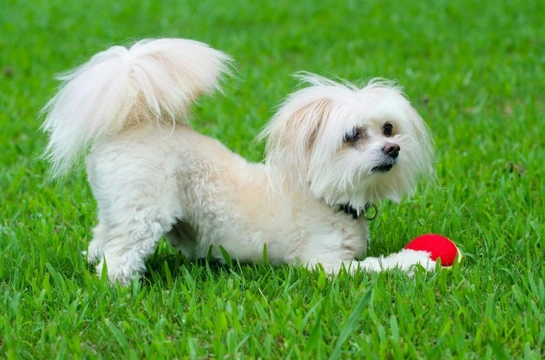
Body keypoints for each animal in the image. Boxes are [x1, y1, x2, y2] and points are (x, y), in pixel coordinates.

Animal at [41, 37, 434, 284]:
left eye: (388, 128)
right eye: (352, 135)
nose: (393, 149)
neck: (321, 195)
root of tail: (133, 123)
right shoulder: (325, 264)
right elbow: (377, 265)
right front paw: (418, 261)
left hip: (117, 206)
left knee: (101, 239)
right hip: (144, 211)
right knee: (119, 258)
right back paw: (119, 290)